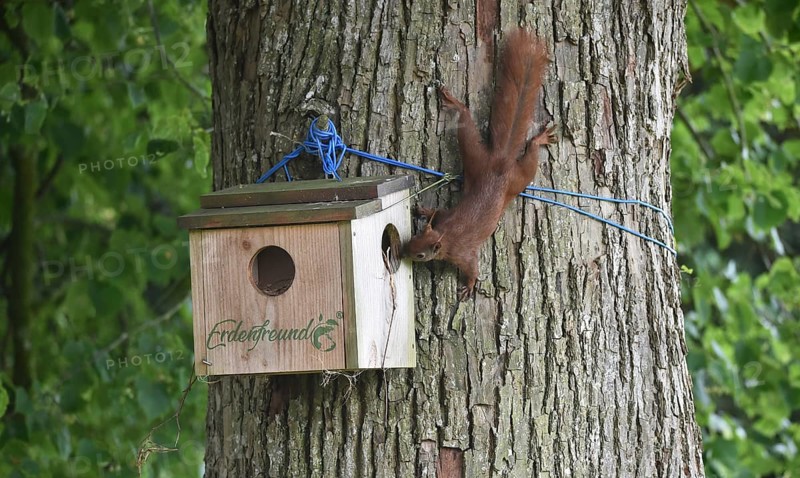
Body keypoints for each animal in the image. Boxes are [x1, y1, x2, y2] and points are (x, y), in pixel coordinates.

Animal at [403, 29, 556, 301]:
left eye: (420, 254)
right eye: (415, 235)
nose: (402, 252)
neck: (445, 236)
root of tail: (500, 162)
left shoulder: (462, 252)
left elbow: (472, 267)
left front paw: (469, 286)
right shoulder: (445, 219)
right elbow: (439, 211)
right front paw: (424, 210)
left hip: (518, 176)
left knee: (530, 154)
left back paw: (539, 139)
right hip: (475, 157)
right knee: (466, 120)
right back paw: (455, 103)